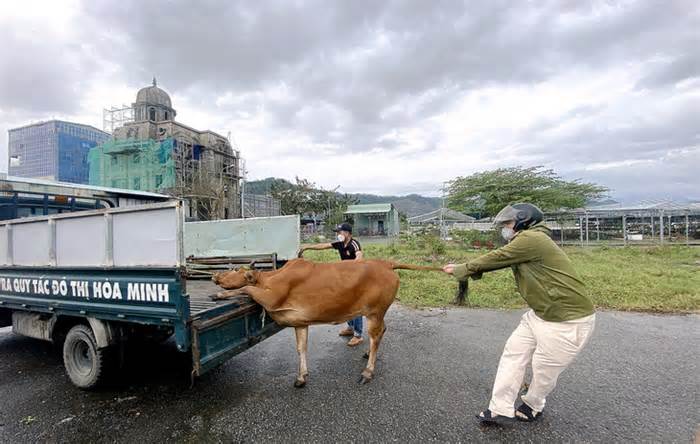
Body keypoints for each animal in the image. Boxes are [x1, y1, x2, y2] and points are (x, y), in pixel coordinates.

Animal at [213, 258, 440, 386]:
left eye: (236, 270)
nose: (215, 274)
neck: (270, 278)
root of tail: (386, 263)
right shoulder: (300, 322)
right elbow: (301, 348)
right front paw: (302, 376)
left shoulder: (271, 298)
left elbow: (246, 288)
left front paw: (220, 294)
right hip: (377, 313)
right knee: (383, 331)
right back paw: (367, 354)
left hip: (375, 312)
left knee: (376, 335)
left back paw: (367, 371)